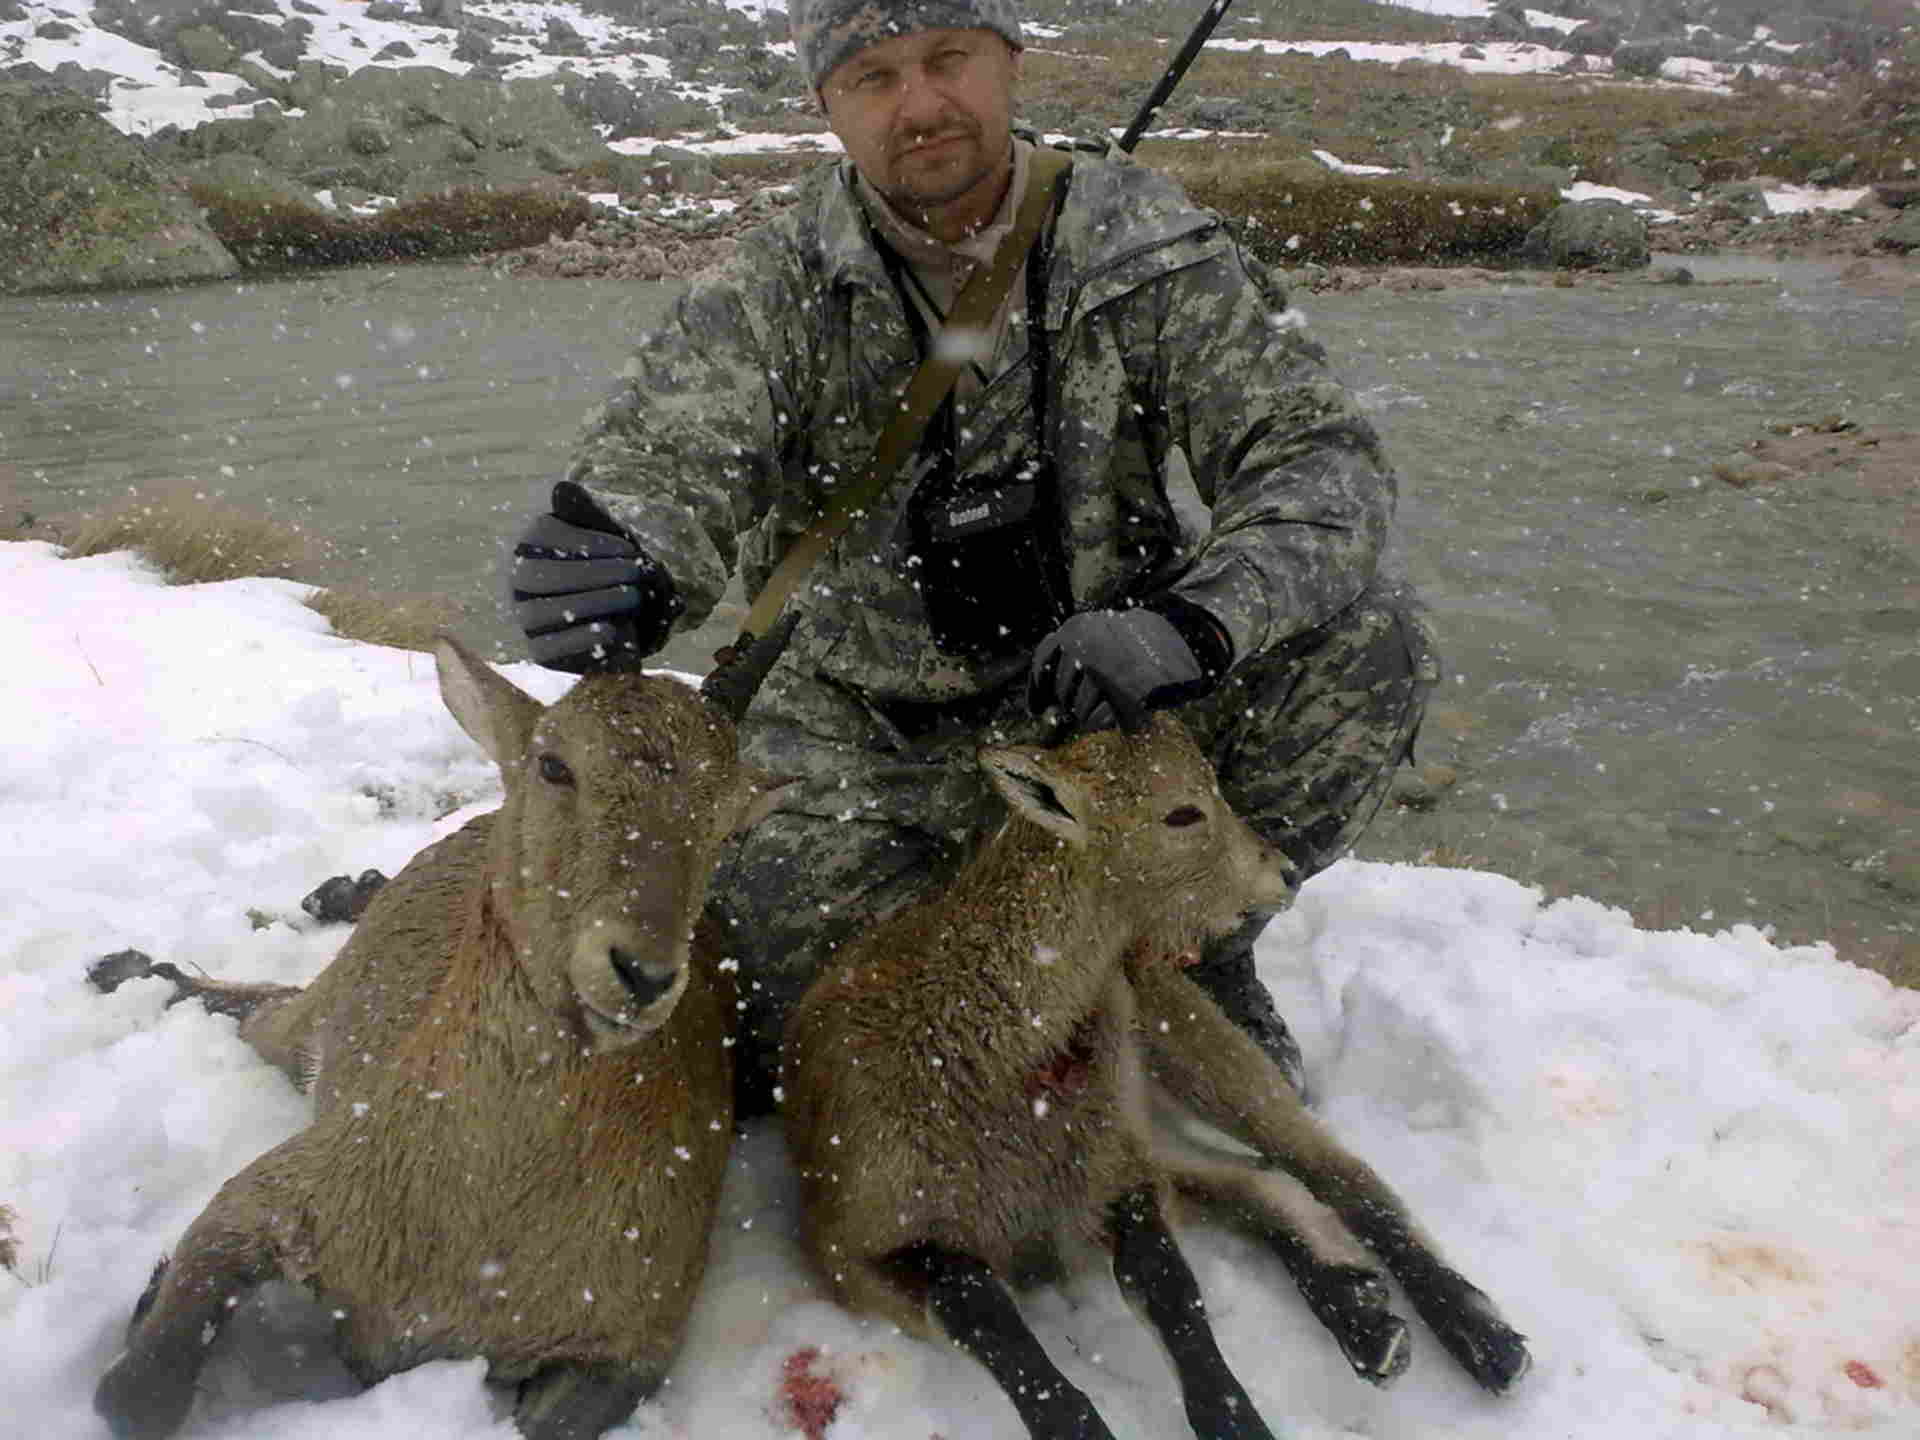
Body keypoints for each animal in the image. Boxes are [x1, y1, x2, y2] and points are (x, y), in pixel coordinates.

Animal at [779, 714, 1528, 1440]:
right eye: (1182, 813)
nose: (1284, 872)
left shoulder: (1114, 1170)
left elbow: (1165, 1284)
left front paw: (1234, 1419)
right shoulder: (854, 1243)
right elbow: (986, 1317)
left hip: (1195, 1051)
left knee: (1335, 1171)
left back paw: (1478, 1336)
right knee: (1249, 1180)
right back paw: (1364, 1315)